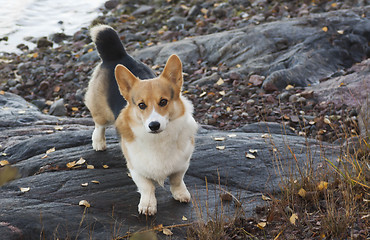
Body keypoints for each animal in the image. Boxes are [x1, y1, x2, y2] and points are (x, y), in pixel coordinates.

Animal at [85, 25, 198, 217]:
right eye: (141, 105)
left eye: (163, 102)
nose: (154, 125)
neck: (158, 139)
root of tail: (117, 55)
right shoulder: (136, 167)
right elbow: (147, 187)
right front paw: (148, 205)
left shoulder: (182, 163)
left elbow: (177, 180)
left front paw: (181, 194)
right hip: (101, 111)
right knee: (99, 125)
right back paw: (99, 142)